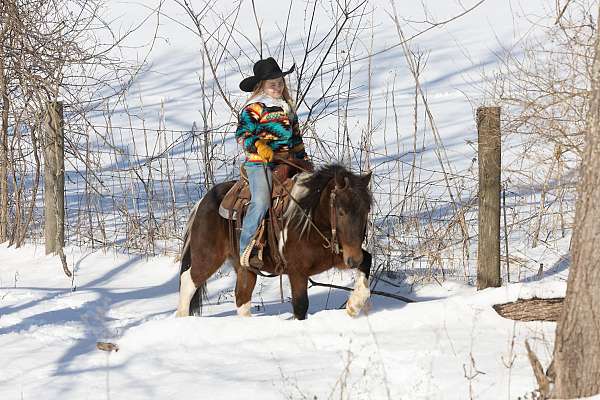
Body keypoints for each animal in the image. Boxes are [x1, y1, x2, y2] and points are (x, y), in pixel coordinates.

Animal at [175, 162, 370, 318]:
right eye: (341, 211)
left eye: (366, 210)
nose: (354, 259)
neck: (309, 218)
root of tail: (202, 202)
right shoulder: (297, 271)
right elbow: (300, 306)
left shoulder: (339, 256)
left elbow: (367, 260)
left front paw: (354, 305)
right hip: (207, 256)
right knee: (188, 281)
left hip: (244, 267)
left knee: (242, 298)